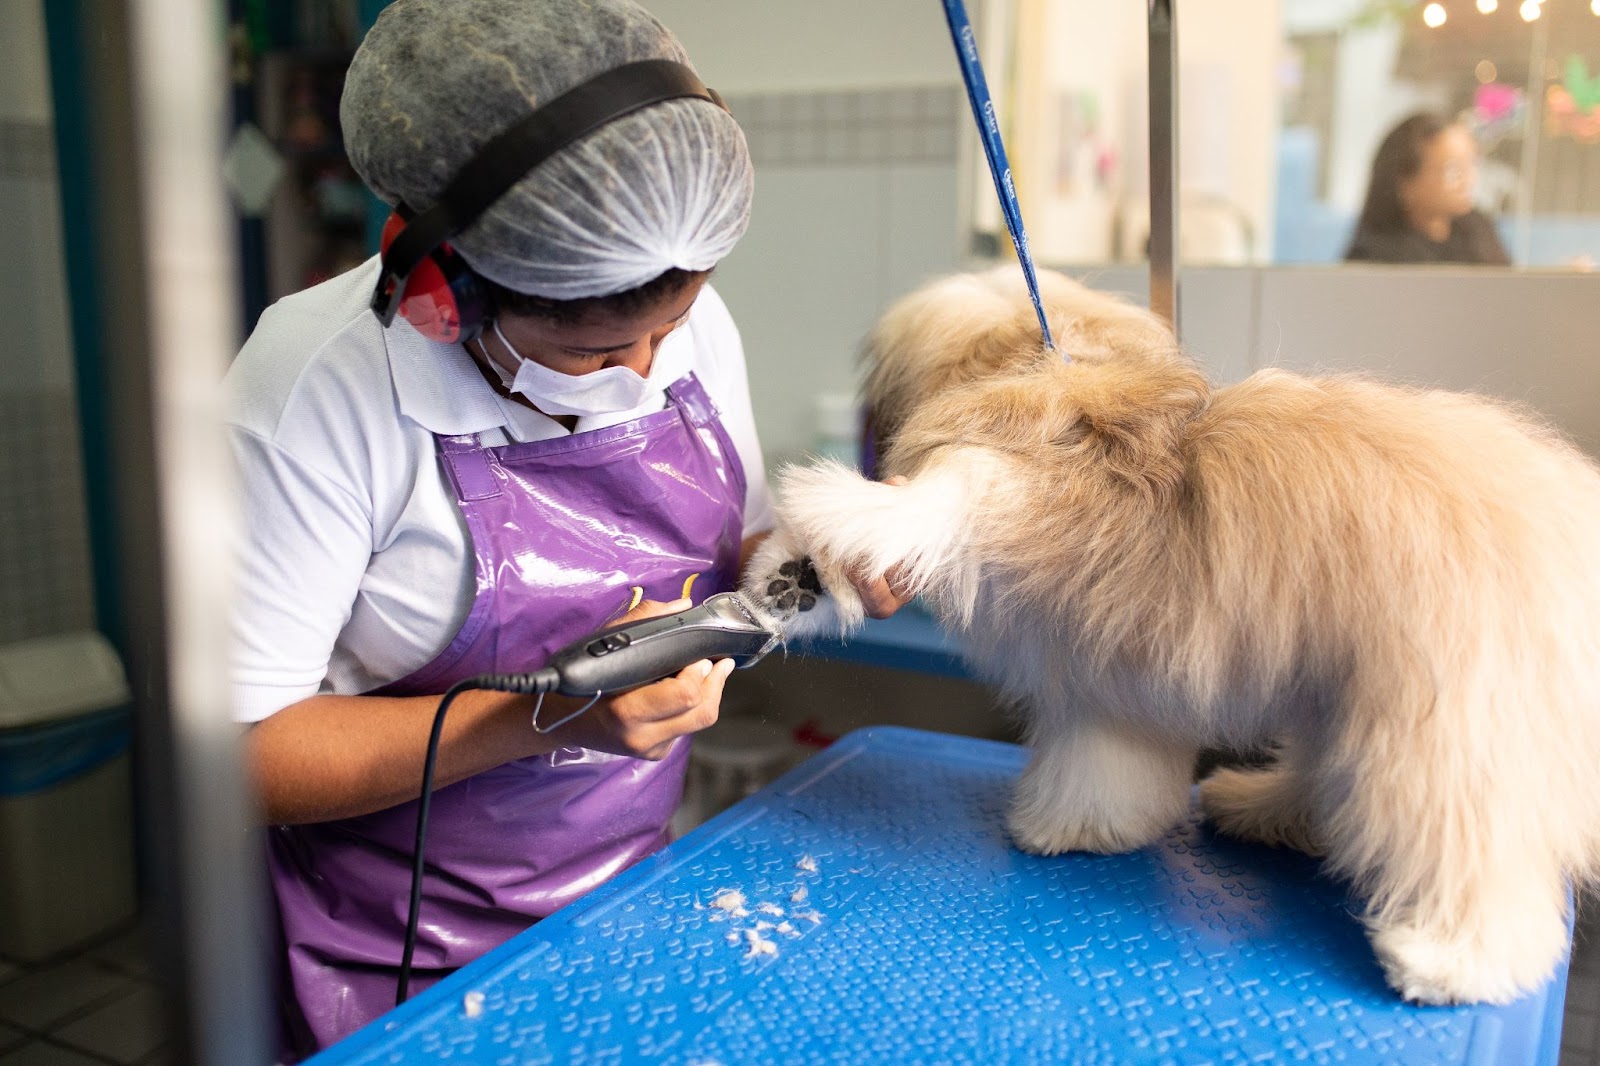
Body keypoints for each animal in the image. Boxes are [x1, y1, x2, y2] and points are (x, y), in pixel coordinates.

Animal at [742, 260, 1600, 998]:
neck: (1058, 365)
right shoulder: (1113, 679)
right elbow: (1110, 766)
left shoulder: (1052, 574)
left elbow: (955, 488)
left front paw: (840, 511)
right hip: (1341, 685)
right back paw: (1263, 807)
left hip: (1442, 717)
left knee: (1471, 840)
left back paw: (1452, 961)